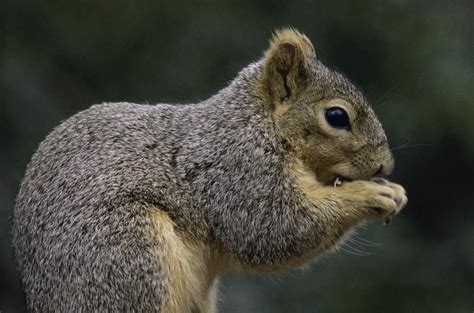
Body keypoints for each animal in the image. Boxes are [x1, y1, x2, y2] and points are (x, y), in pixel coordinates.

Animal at [13, 28, 408, 310]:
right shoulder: (238, 170)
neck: (261, 124)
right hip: (127, 252)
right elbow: (275, 229)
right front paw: (372, 194)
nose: (384, 165)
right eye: (336, 116)